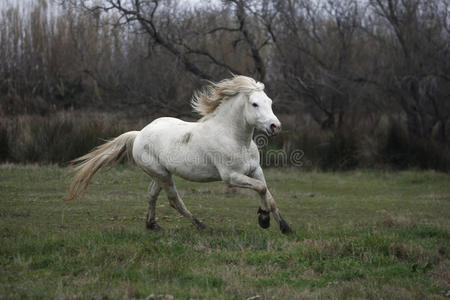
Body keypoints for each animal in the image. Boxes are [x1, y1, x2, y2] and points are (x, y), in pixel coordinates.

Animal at [67, 75, 292, 234]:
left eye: (269, 101)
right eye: (254, 104)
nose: (275, 126)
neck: (234, 138)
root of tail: (139, 134)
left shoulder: (255, 170)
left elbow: (267, 194)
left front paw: (283, 226)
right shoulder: (231, 177)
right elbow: (261, 189)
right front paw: (263, 219)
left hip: (160, 174)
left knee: (151, 195)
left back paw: (152, 225)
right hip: (163, 175)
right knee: (174, 200)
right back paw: (201, 225)